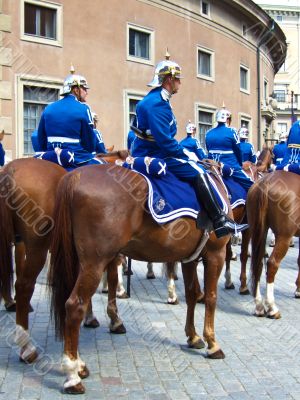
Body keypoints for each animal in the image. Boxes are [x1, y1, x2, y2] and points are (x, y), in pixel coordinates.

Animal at [48, 162, 232, 394]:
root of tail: (75, 176)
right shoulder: (216, 254)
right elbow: (210, 298)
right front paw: (212, 343)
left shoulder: (189, 258)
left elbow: (192, 295)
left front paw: (193, 336)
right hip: (94, 263)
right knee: (75, 306)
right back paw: (72, 376)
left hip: (77, 262)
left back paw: (80, 365)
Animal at [247, 170, 300, 318]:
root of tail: (267, 180)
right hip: (284, 237)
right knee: (272, 264)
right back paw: (272, 307)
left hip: (259, 231)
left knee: (258, 264)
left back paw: (259, 305)